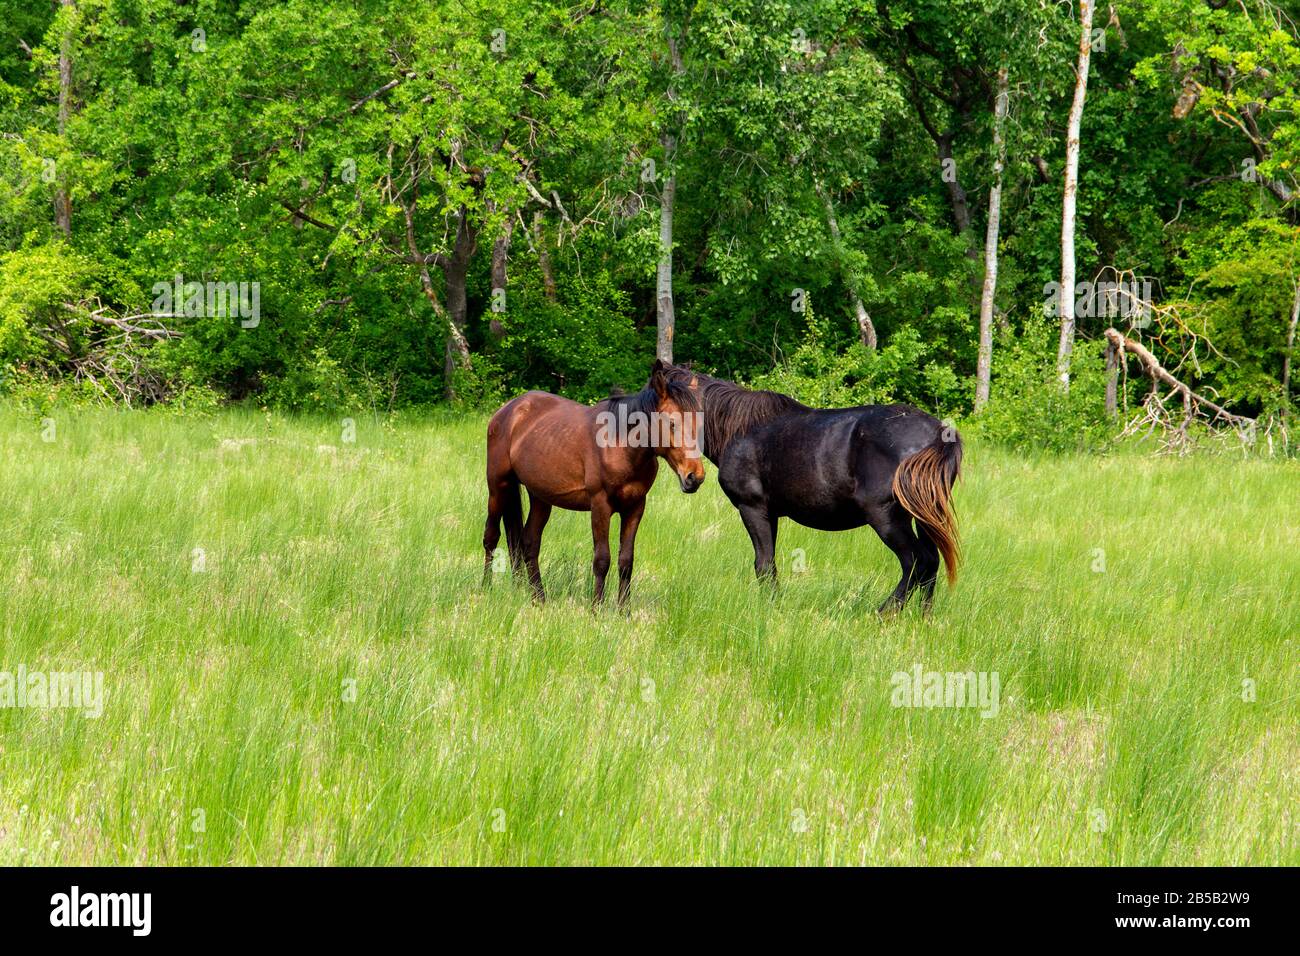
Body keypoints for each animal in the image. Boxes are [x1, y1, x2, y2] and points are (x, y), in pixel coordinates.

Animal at [483, 358, 707, 606]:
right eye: (671, 423)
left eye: (698, 424)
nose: (695, 476)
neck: (621, 445)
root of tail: (509, 409)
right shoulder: (600, 505)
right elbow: (602, 560)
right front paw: (596, 608)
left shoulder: (635, 507)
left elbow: (626, 561)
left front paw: (624, 610)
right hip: (498, 487)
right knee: (491, 537)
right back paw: (486, 589)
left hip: (540, 497)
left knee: (529, 542)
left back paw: (538, 598)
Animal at [665, 366, 961, 613]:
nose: (691, 478)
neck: (740, 429)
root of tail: (938, 434)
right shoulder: (771, 514)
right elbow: (770, 563)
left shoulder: (752, 508)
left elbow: (763, 563)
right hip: (924, 516)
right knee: (932, 563)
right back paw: (923, 618)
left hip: (887, 518)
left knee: (916, 562)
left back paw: (884, 613)